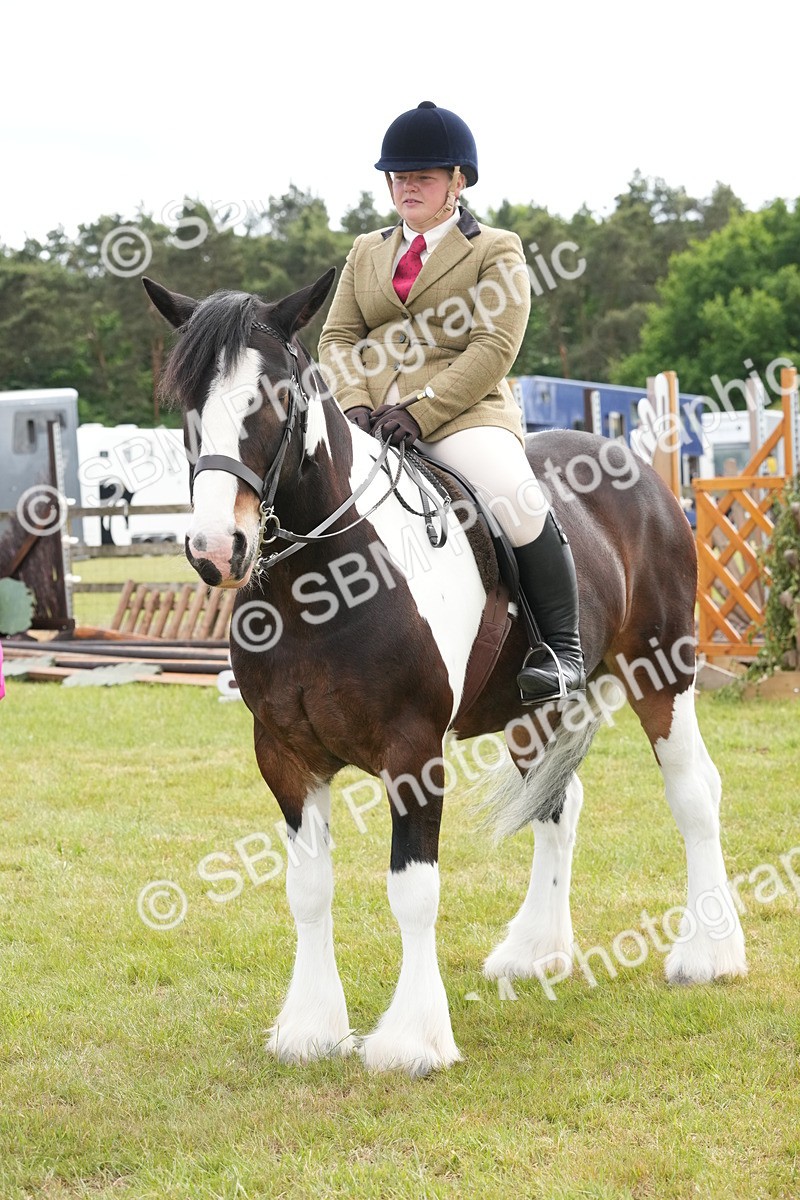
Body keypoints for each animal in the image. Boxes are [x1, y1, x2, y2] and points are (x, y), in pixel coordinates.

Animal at [142, 269, 747, 1076]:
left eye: (272, 400)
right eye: (187, 406)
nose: (216, 550)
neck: (323, 584)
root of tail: (634, 467)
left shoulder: (413, 751)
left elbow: (413, 890)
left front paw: (413, 1040)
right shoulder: (285, 755)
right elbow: (308, 888)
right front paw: (310, 1028)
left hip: (662, 673)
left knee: (693, 794)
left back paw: (707, 954)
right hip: (533, 711)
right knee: (561, 806)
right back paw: (535, 952)